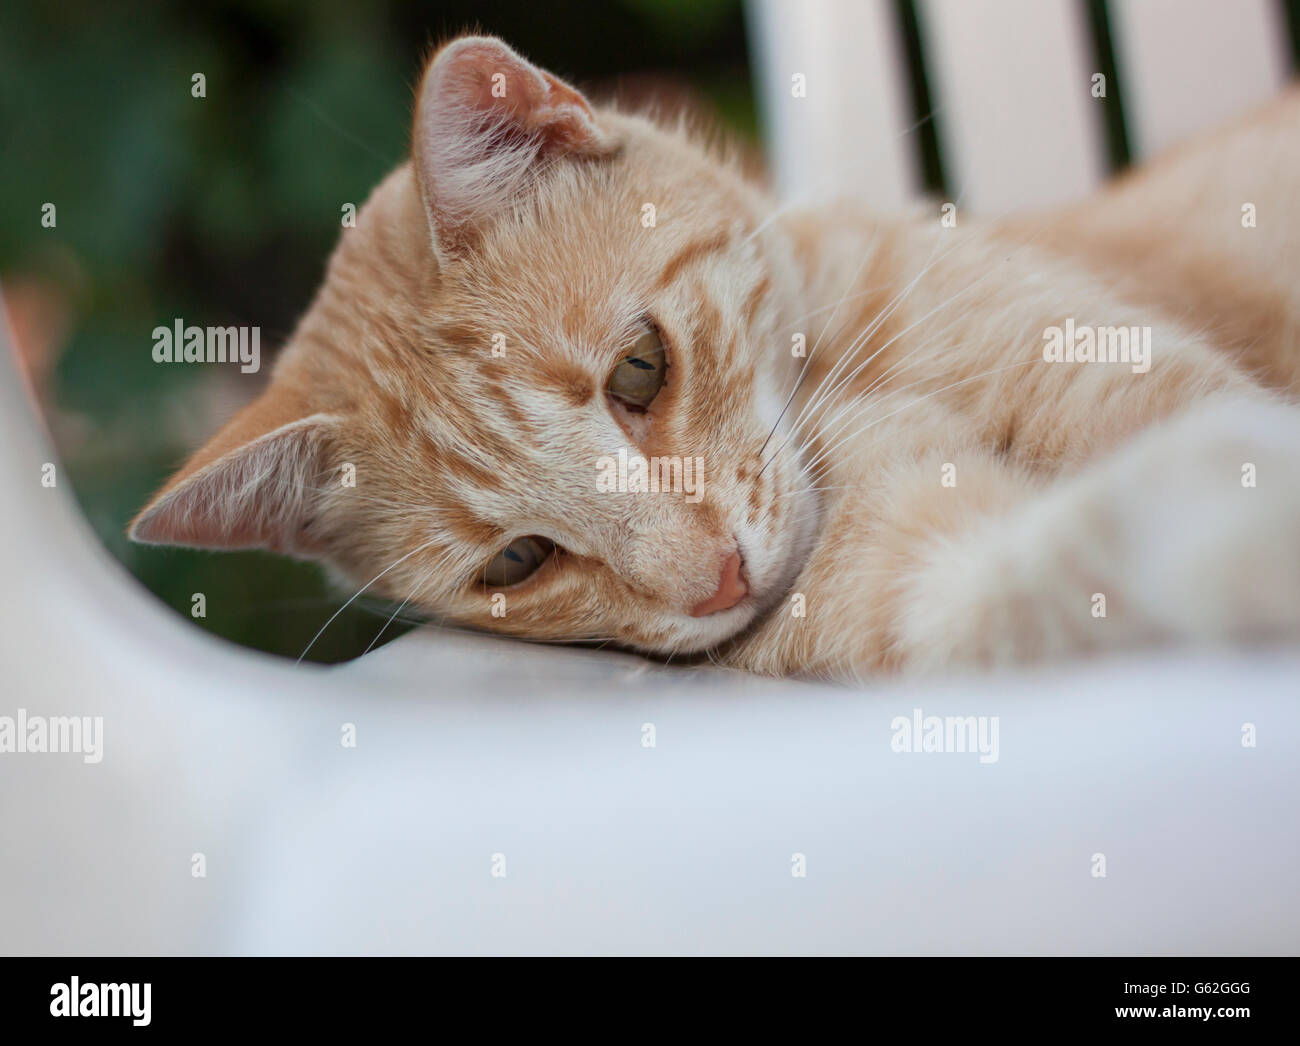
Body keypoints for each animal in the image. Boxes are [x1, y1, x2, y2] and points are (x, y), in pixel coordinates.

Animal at [131, 34, 1300, 675]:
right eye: (517, 561)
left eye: (639, 370)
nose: (720, 580)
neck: (839, 392)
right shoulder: (914, 580)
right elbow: (1044, 563)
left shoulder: (1131, 377)